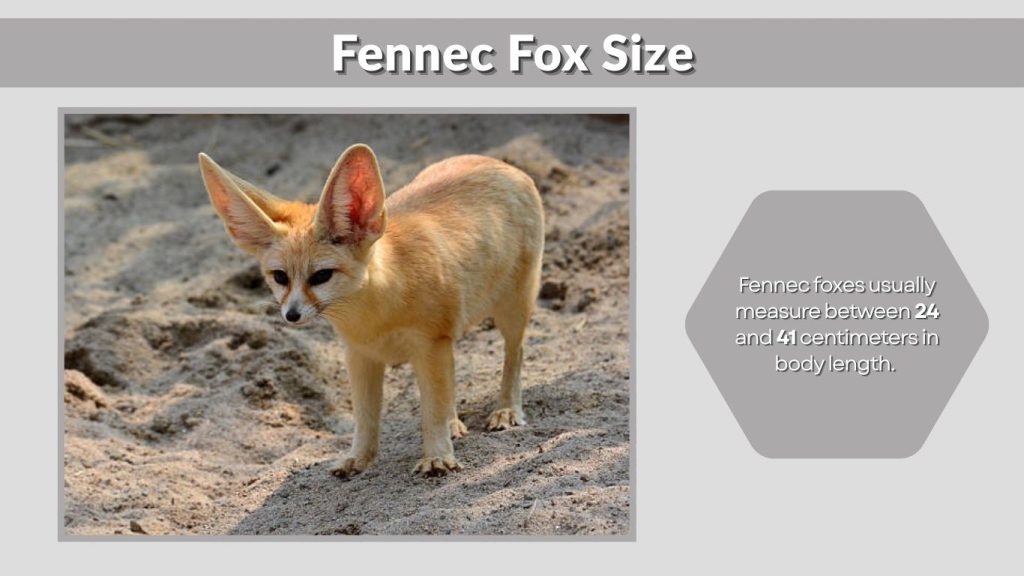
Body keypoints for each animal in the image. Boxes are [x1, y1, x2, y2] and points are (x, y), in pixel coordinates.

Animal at [198, 144, 544, 477]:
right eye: (280, 277)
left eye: (321, 276)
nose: (291, 315)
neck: (375, 315)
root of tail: (499, 163)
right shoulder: (361, 355)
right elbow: (365, 417)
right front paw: (358, 459)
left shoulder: (429, 347)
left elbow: (431, 411)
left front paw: (437, 457)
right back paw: (455, 423)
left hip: (512, 309)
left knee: (515, 354)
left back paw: (506, 409)